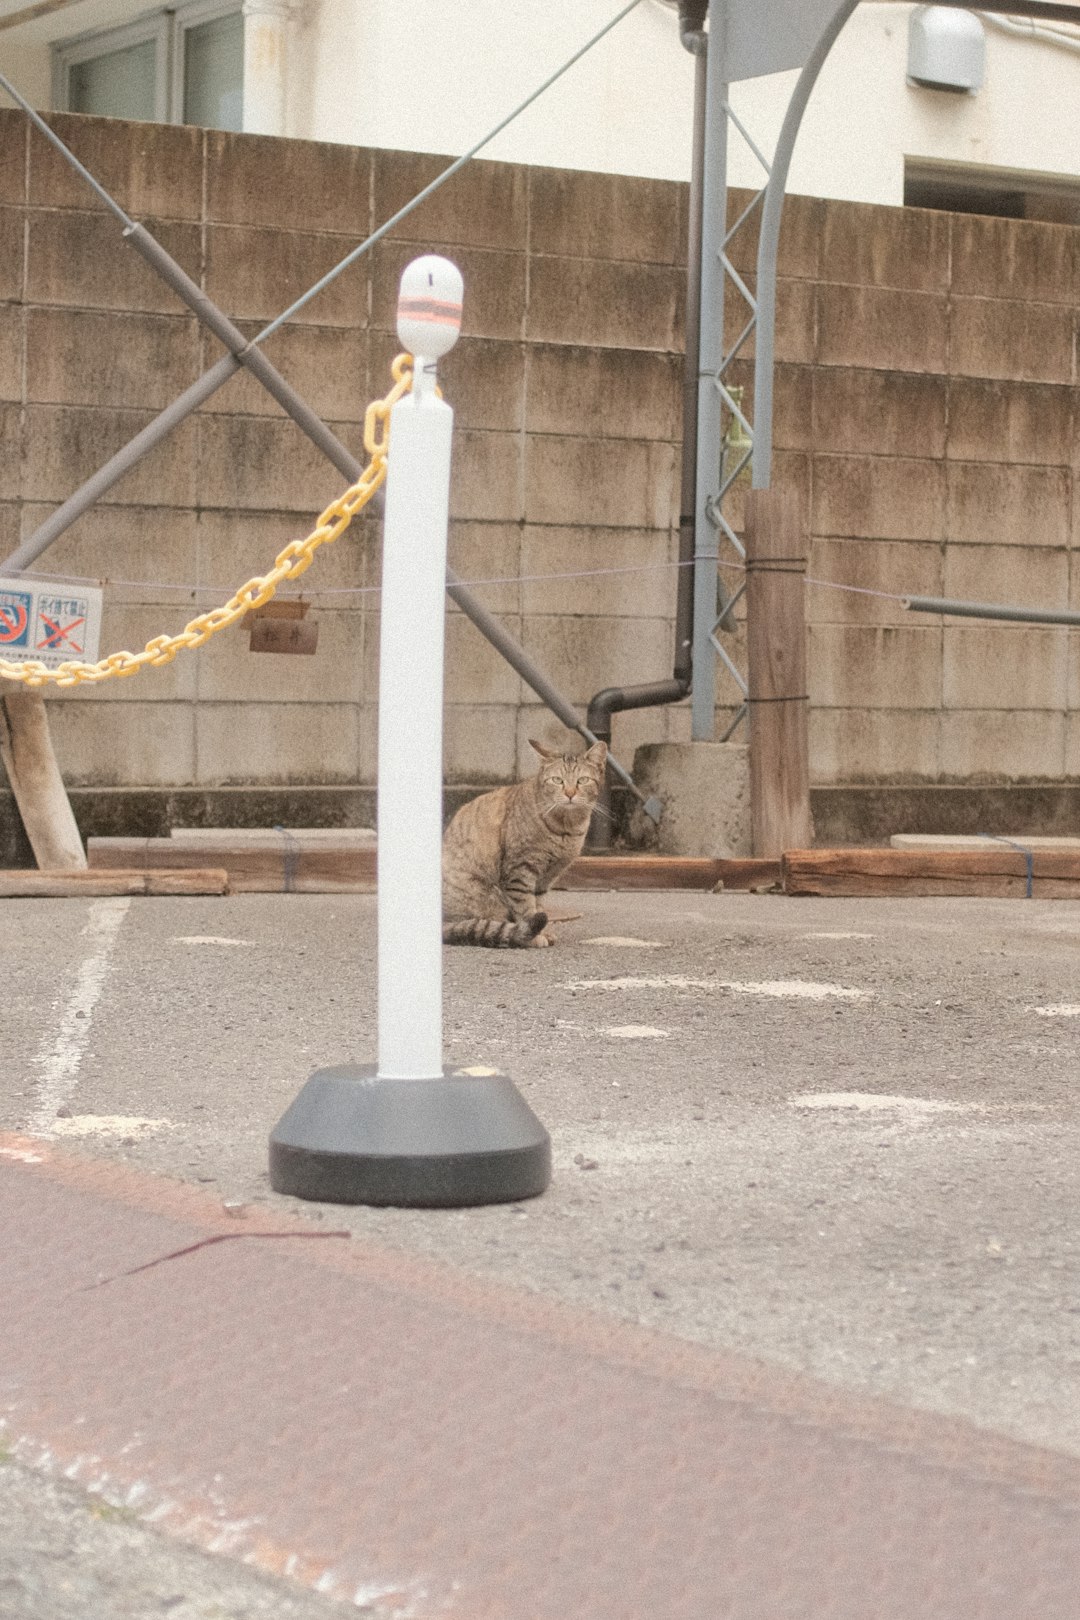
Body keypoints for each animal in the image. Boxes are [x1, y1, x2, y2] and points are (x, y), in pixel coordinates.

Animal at [440, 738, 608, 946]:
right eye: (557, 780)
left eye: (582, 780)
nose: (570, 793)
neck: (566, 828)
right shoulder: (520, 872)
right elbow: (526, 909)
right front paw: (535, 937)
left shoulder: (546, 878)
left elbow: (538, 905)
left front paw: (545, 932)